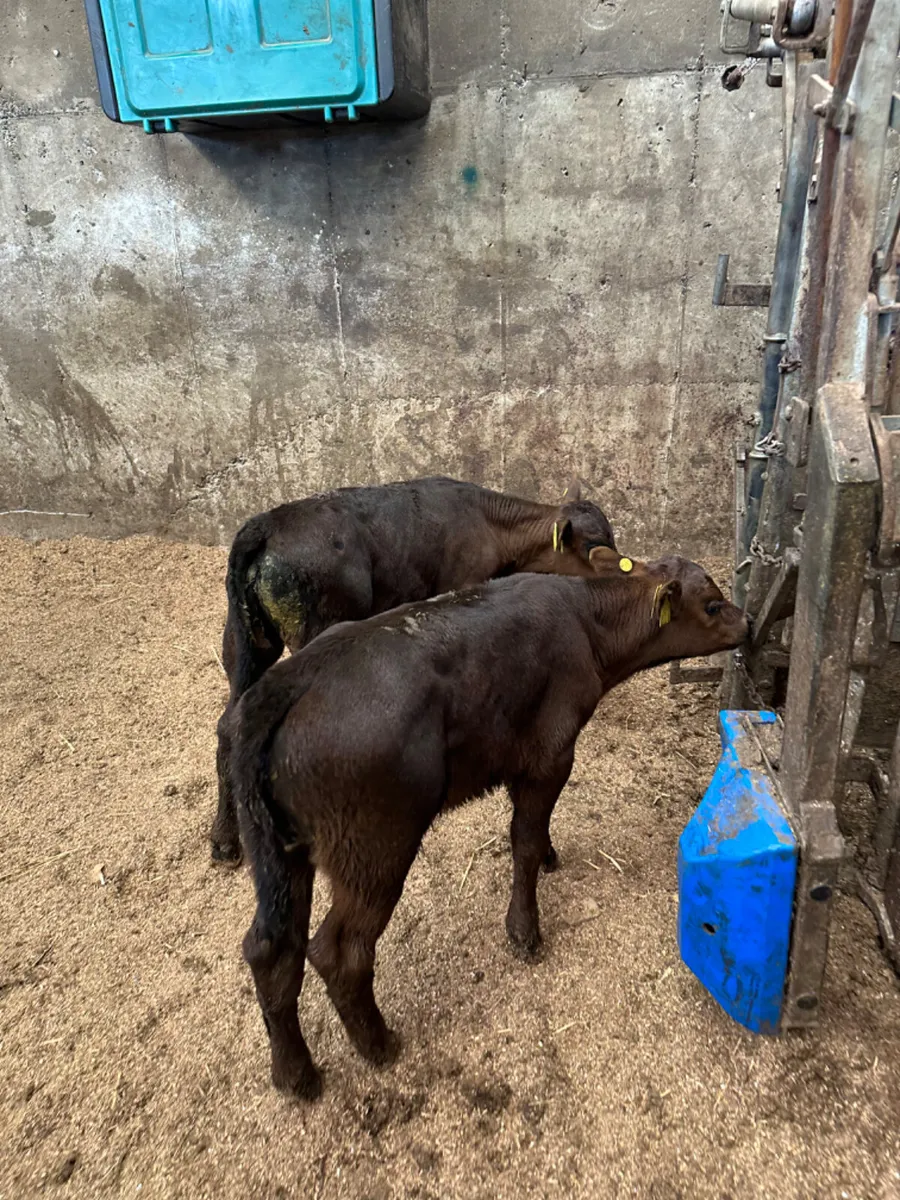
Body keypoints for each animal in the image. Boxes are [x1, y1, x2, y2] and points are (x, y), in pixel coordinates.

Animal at [211, 476, 617, 863]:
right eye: (594, 545)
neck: (490, 523)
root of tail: (267, 524)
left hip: (246, 643)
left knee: (229, 724)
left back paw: (224, 840)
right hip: (311, 630)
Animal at [229, 549, 749, 1100]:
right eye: (713, 605)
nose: (749, 622)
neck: (584, 621)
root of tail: (293, 678)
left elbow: (533, 831)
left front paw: (550, 856)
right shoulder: (551, 754)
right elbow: (523, 840)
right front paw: (524, 929)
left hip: (283, 853)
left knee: (269, 948)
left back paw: (295, 1072)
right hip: (374, 847)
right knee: (339, 951)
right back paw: (378, 1044)